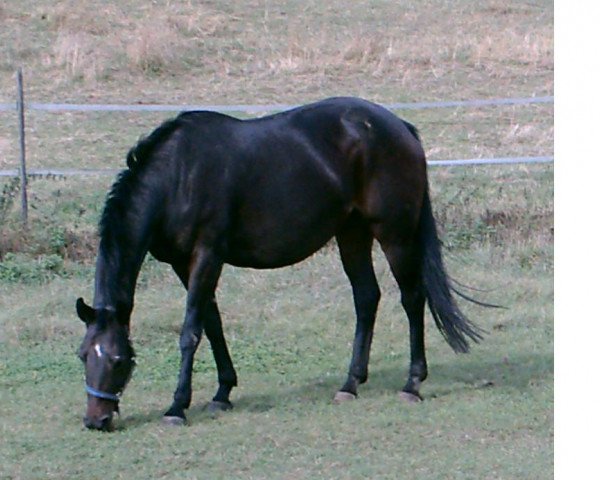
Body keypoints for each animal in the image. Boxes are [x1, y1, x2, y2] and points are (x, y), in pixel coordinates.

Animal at [77, 96, 486, 432]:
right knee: (367, 298)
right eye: (83, 355)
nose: (96, 420)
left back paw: (412, 384)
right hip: (351, 233)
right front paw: (222, 392)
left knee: (412, 299)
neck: (179, 175)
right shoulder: (183, 262)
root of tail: (401, 128)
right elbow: (212, 322)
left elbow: (191, 331)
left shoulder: (207, 255)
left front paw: (177, 407)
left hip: (394, 235)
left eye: (118, 359)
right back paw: (350, 384)